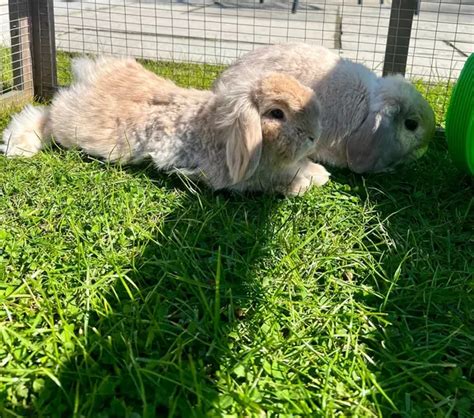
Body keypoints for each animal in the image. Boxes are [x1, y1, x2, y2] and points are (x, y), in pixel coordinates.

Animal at [1, 55, 330, 196]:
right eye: (276, 114)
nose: (314, 136)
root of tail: (91, 74)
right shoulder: (240, 180)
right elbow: (276, 179)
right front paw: (305, 183)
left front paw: (319, 173)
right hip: (73, 125)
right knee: (42, 115)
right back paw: (17, 146)